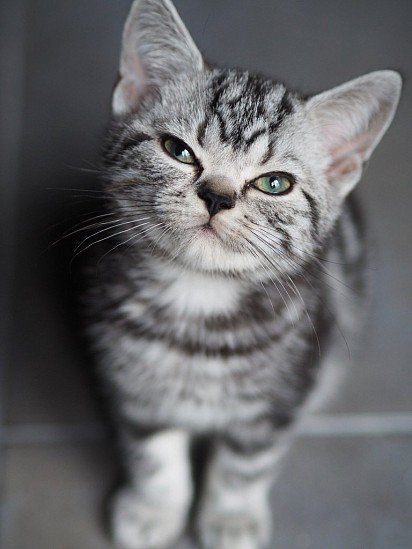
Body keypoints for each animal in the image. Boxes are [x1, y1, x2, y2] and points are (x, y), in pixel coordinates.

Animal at [85, 1, 400, 548]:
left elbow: (244, 466)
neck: (199, 298)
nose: (217, 196)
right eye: (178, 150)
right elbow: (151, 451)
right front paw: (153, 508)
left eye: (274, 184)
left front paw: (231, 518)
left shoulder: (282, 395)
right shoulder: (132, 384)